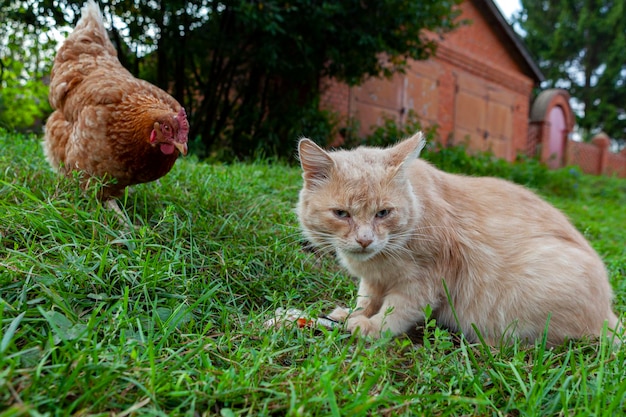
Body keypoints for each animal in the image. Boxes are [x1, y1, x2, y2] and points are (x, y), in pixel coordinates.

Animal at [294, 132, 616, 342]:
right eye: (342, 214)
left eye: (383, 213)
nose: (364, 240)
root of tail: (609, 314)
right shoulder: (373, 280)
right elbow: (366, 299)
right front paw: (351, 314)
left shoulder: (424, 281)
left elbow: (396, 310)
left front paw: (372, 327)